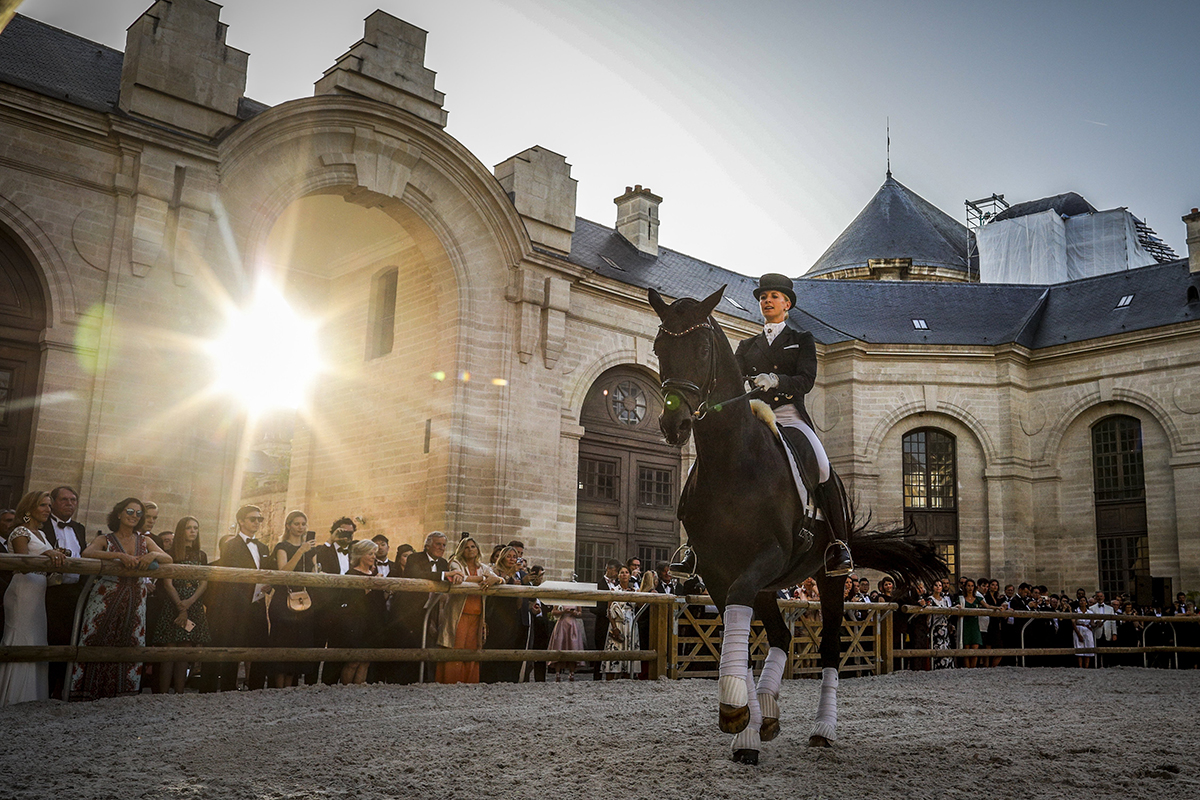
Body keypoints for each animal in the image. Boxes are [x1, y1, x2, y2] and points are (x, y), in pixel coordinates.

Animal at [652, 286, 940, 762]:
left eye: (703, 349)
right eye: (659, 348)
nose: (674, 423)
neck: (731, 460)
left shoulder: (766, 558)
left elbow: (744, 618)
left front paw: (734, 708)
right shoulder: (715, 571)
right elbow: (739, 629)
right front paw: (746, 724)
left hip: (827, 576)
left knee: (827, 647)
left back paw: (822, 729)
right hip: (772, 585)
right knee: (782, 636)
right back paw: (764, 717)